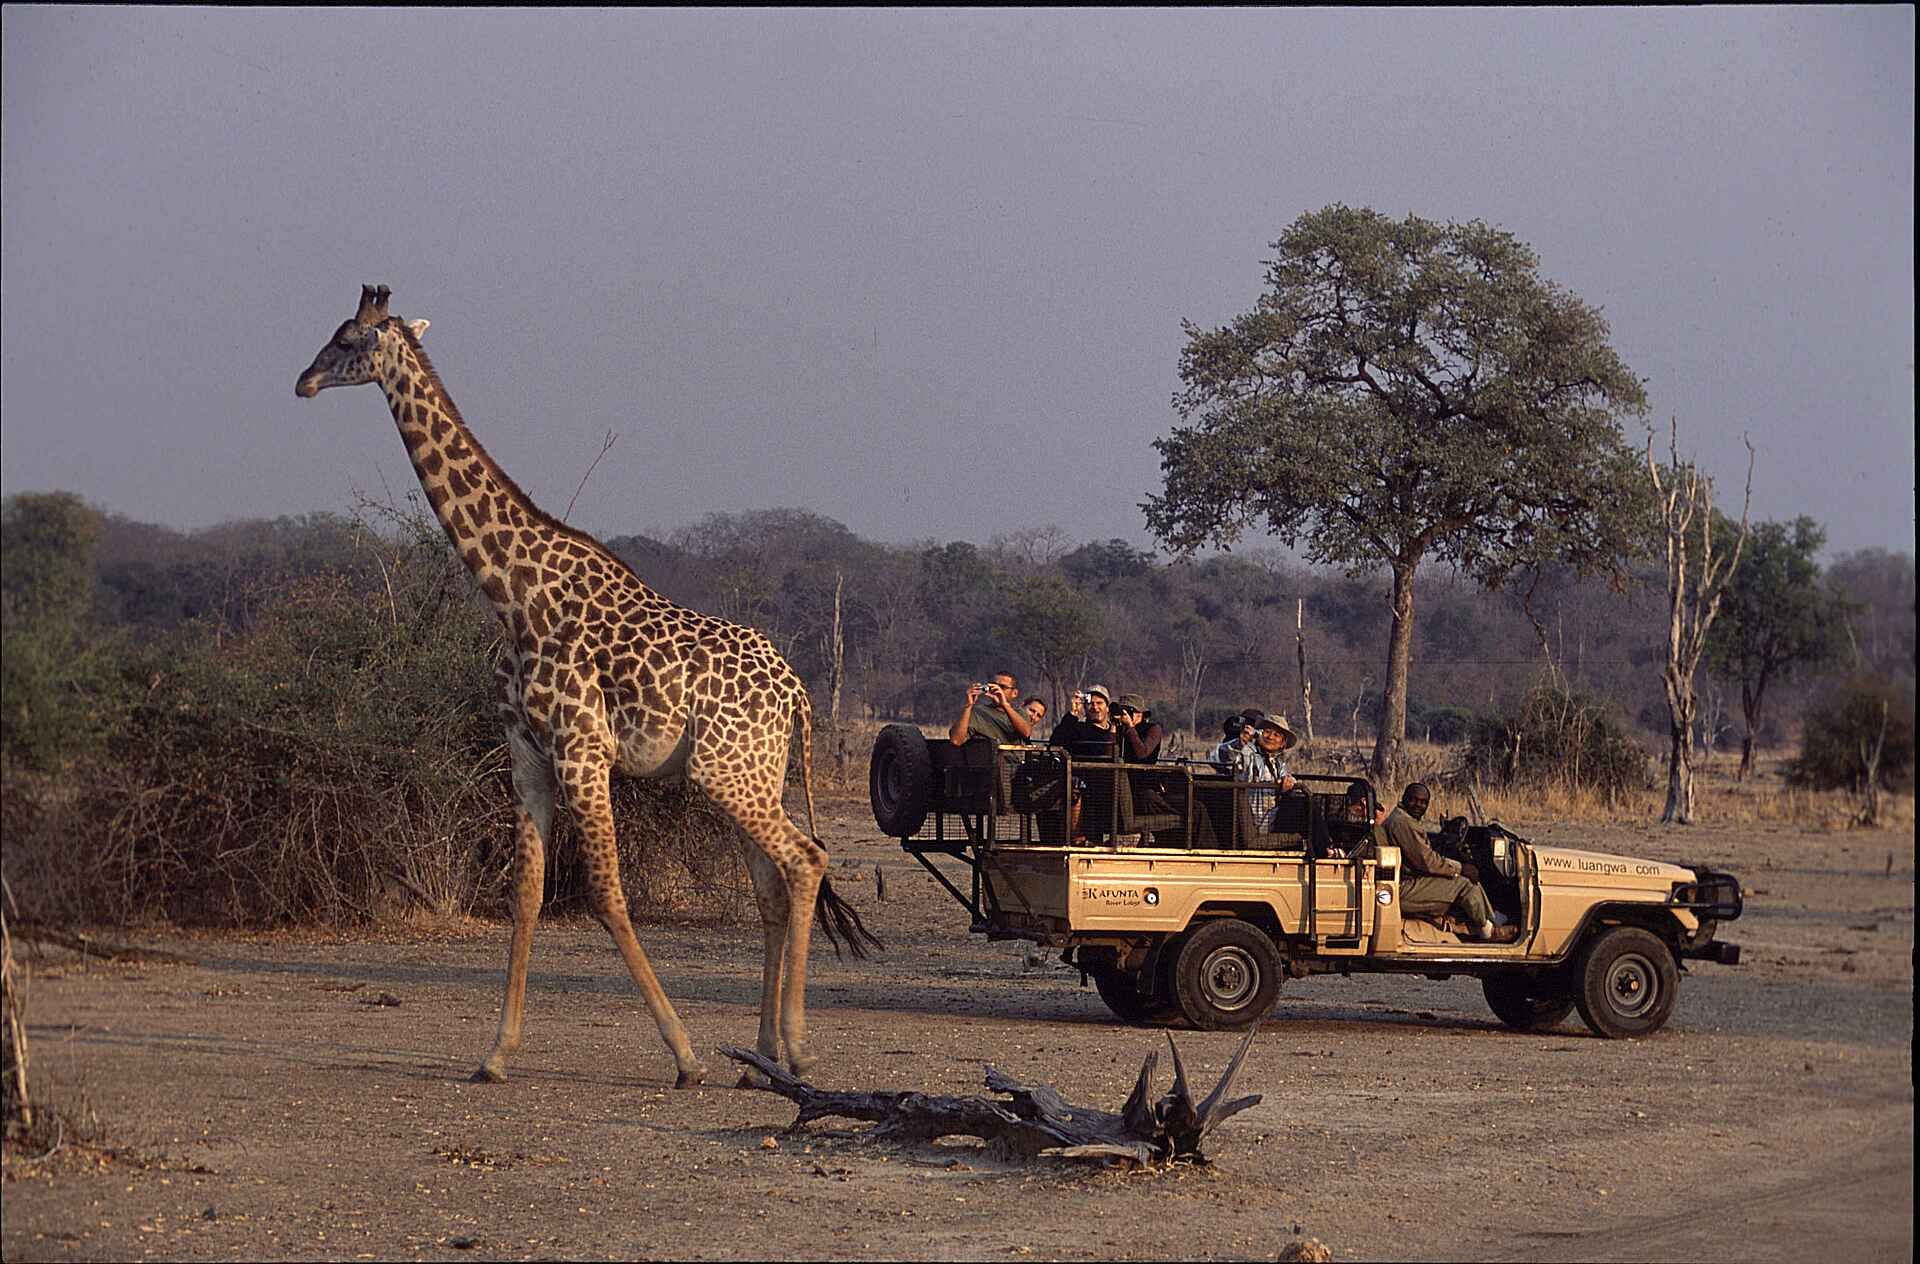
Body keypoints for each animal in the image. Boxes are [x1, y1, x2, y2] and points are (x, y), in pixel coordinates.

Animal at [295, 285, 876, 1087]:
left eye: (349, 339)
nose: (304, 381)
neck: (512, 594)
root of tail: (798, 695)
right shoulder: (527, 752)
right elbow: (526, 894)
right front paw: (496, 1053)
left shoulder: (582, 748)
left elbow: (605, 893)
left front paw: (684, 1055)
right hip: (751, 773)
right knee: (772, 882)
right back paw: (760, 1055)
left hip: (728, 773)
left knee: (806, 860)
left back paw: (795, 1048)